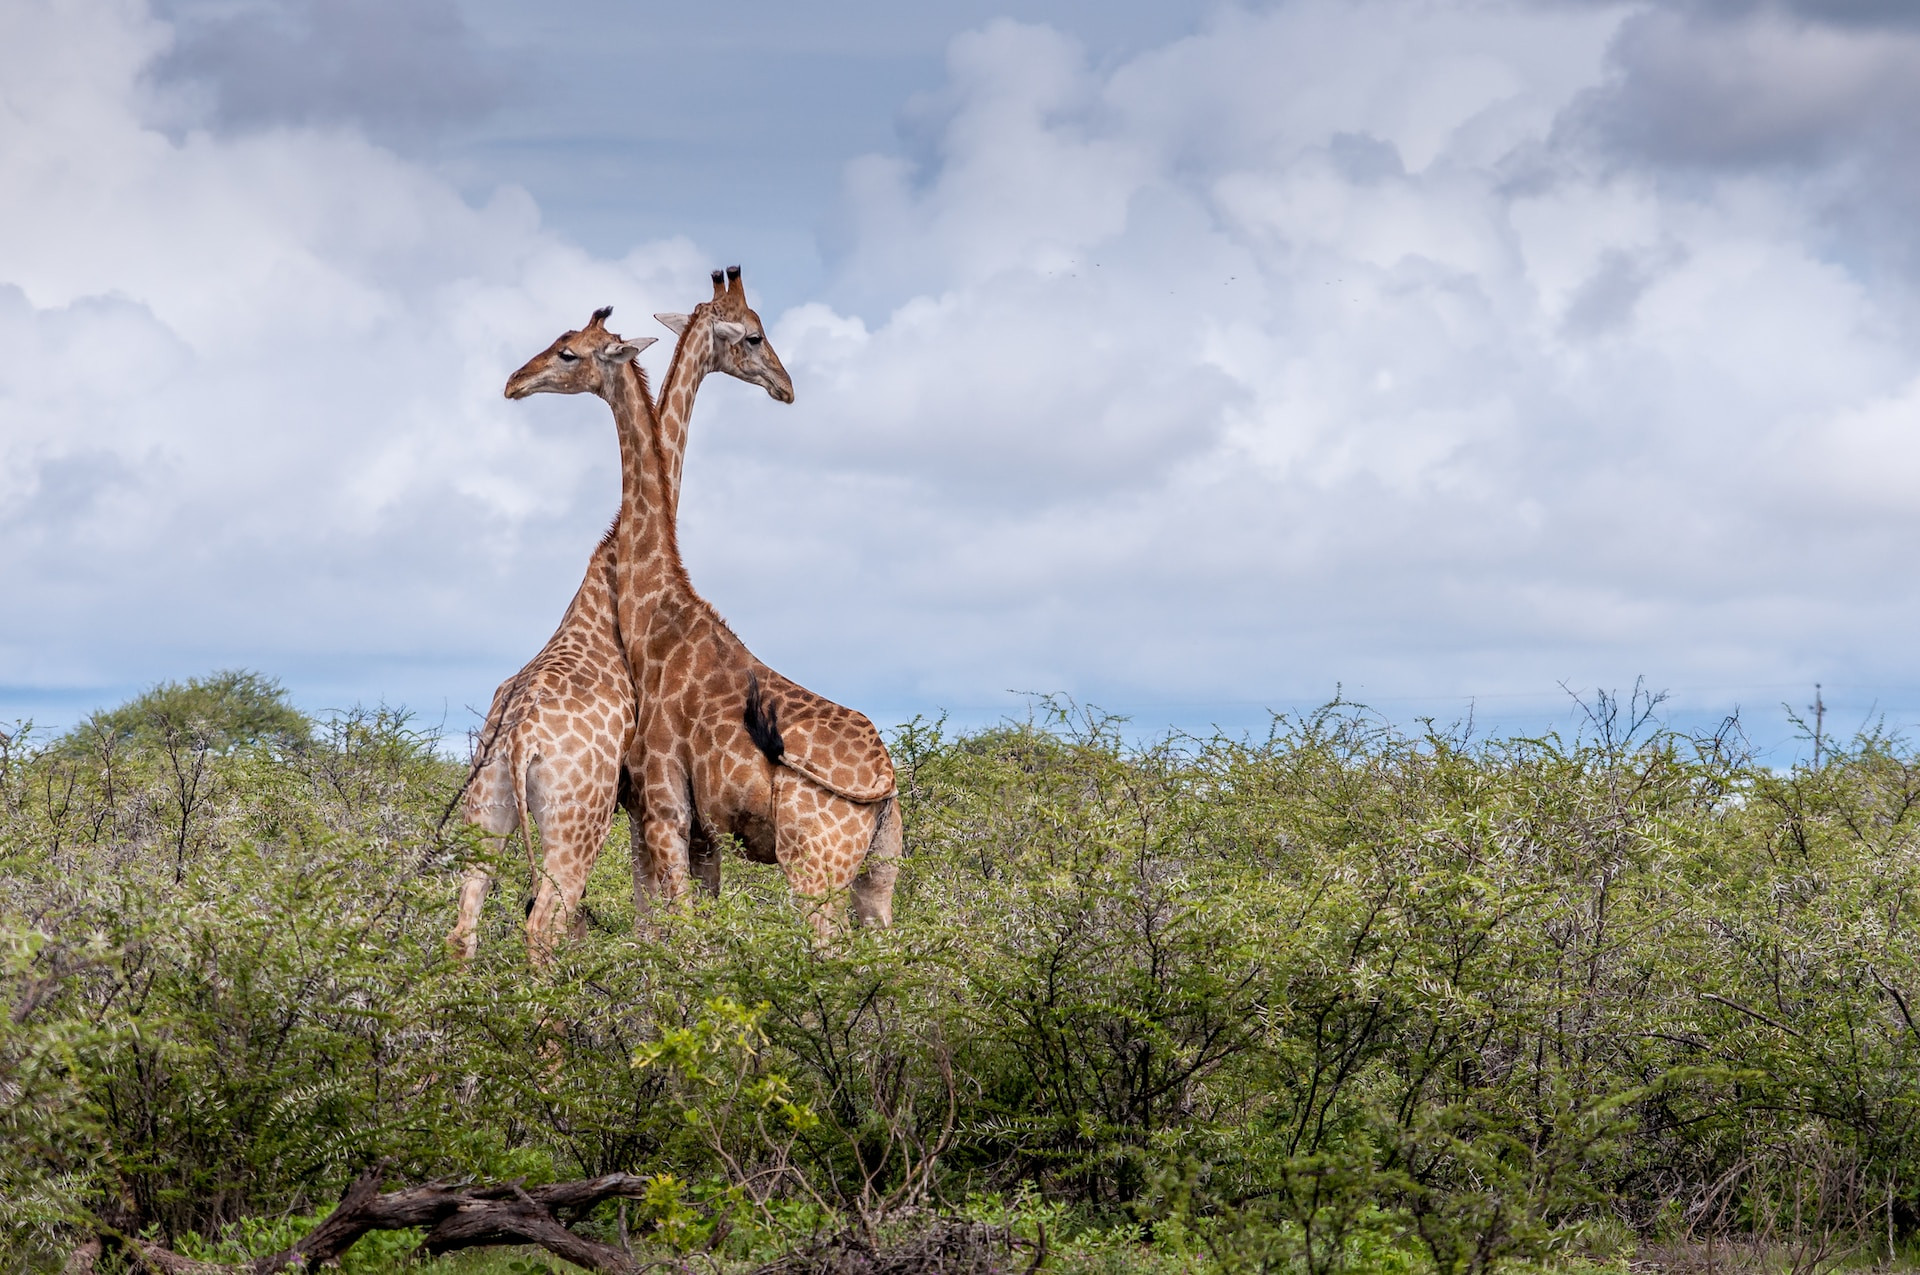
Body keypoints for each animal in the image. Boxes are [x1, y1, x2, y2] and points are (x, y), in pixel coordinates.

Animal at [508, 271, 902, 939]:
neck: (653, 611)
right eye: (755, 335)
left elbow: (675, 933)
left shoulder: (665, 810)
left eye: (568, 352)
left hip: (813, 867)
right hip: (877, 875)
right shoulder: (678, 823)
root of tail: (885, 777)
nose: (514, 381)